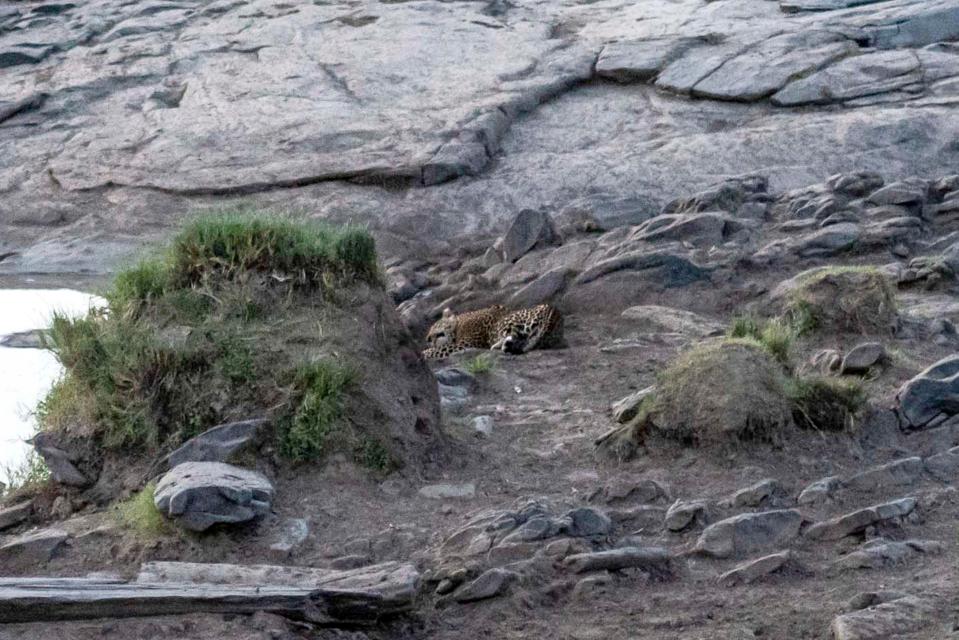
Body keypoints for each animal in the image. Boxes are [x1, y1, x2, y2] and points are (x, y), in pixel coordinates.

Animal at [426, 302, 564, 358]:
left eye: (433, 326)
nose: (427, 339)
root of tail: (554, 311)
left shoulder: (465, 344)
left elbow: (433, 351)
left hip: (507, 323)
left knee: (512, 335)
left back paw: (496, 346)